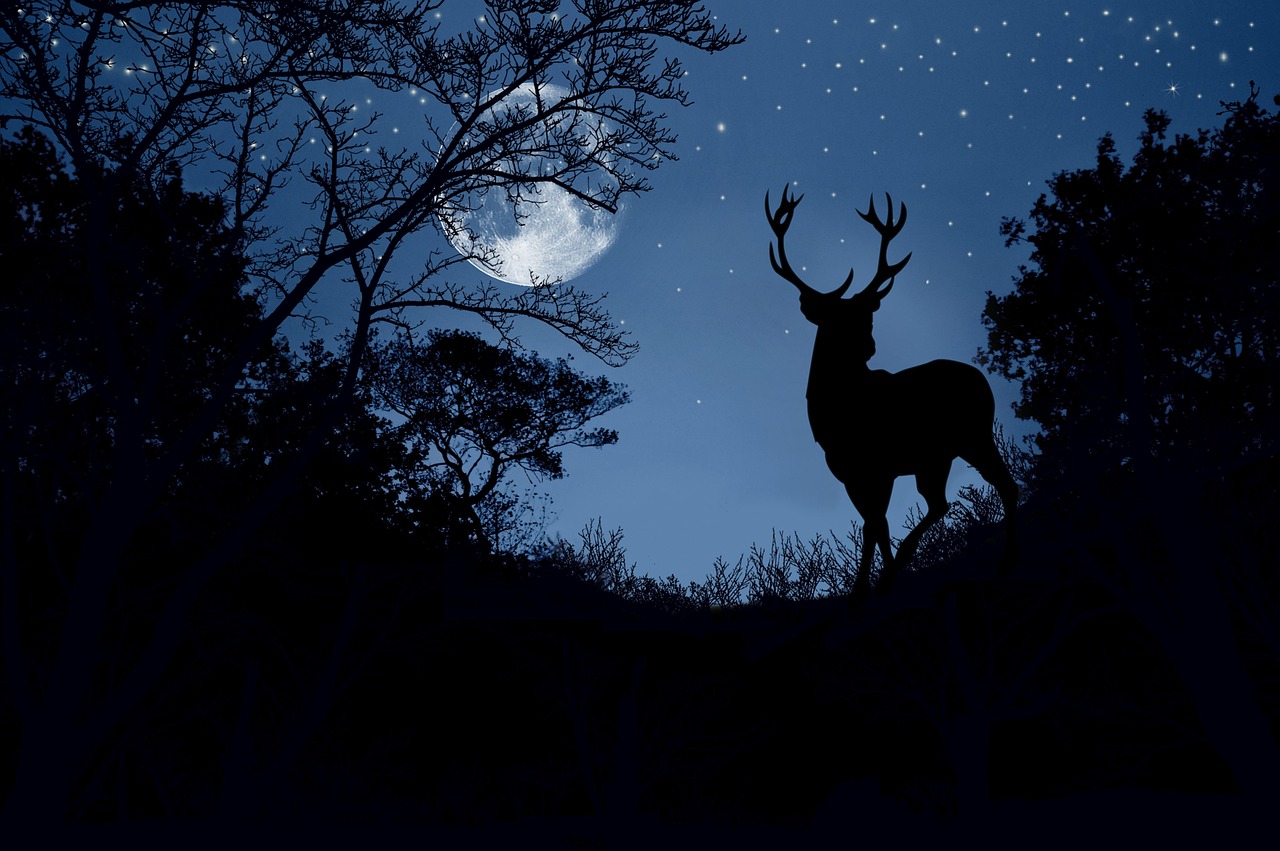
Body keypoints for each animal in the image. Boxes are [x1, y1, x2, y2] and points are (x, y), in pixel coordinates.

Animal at [765, 185, 1018, 597]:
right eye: (833, 321)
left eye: (867, 316)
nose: (869, 347)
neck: (834, 413)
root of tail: (982, 378)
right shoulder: (848, 471)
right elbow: (877, 524)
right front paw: (876, 583)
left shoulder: (878, 466)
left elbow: (873, 526)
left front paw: (863, 589)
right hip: (941, 454)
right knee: (947, 502)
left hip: (973, 435)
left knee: (996, 488)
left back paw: (1002, 562)